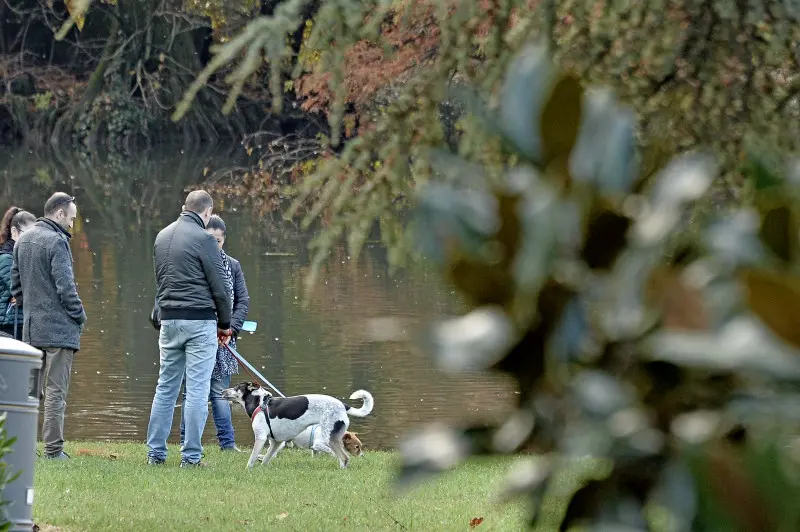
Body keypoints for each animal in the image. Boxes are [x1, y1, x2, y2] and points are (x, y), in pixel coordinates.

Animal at [222, 382, 376, 470]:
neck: (260, 403)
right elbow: (266, 459)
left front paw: (248, 470)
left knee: (344, 457)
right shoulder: (276, 442)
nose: (222, 391)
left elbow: (252, 459)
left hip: (329, 439)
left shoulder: (260, 438)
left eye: (237, 388)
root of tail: (343, 405)